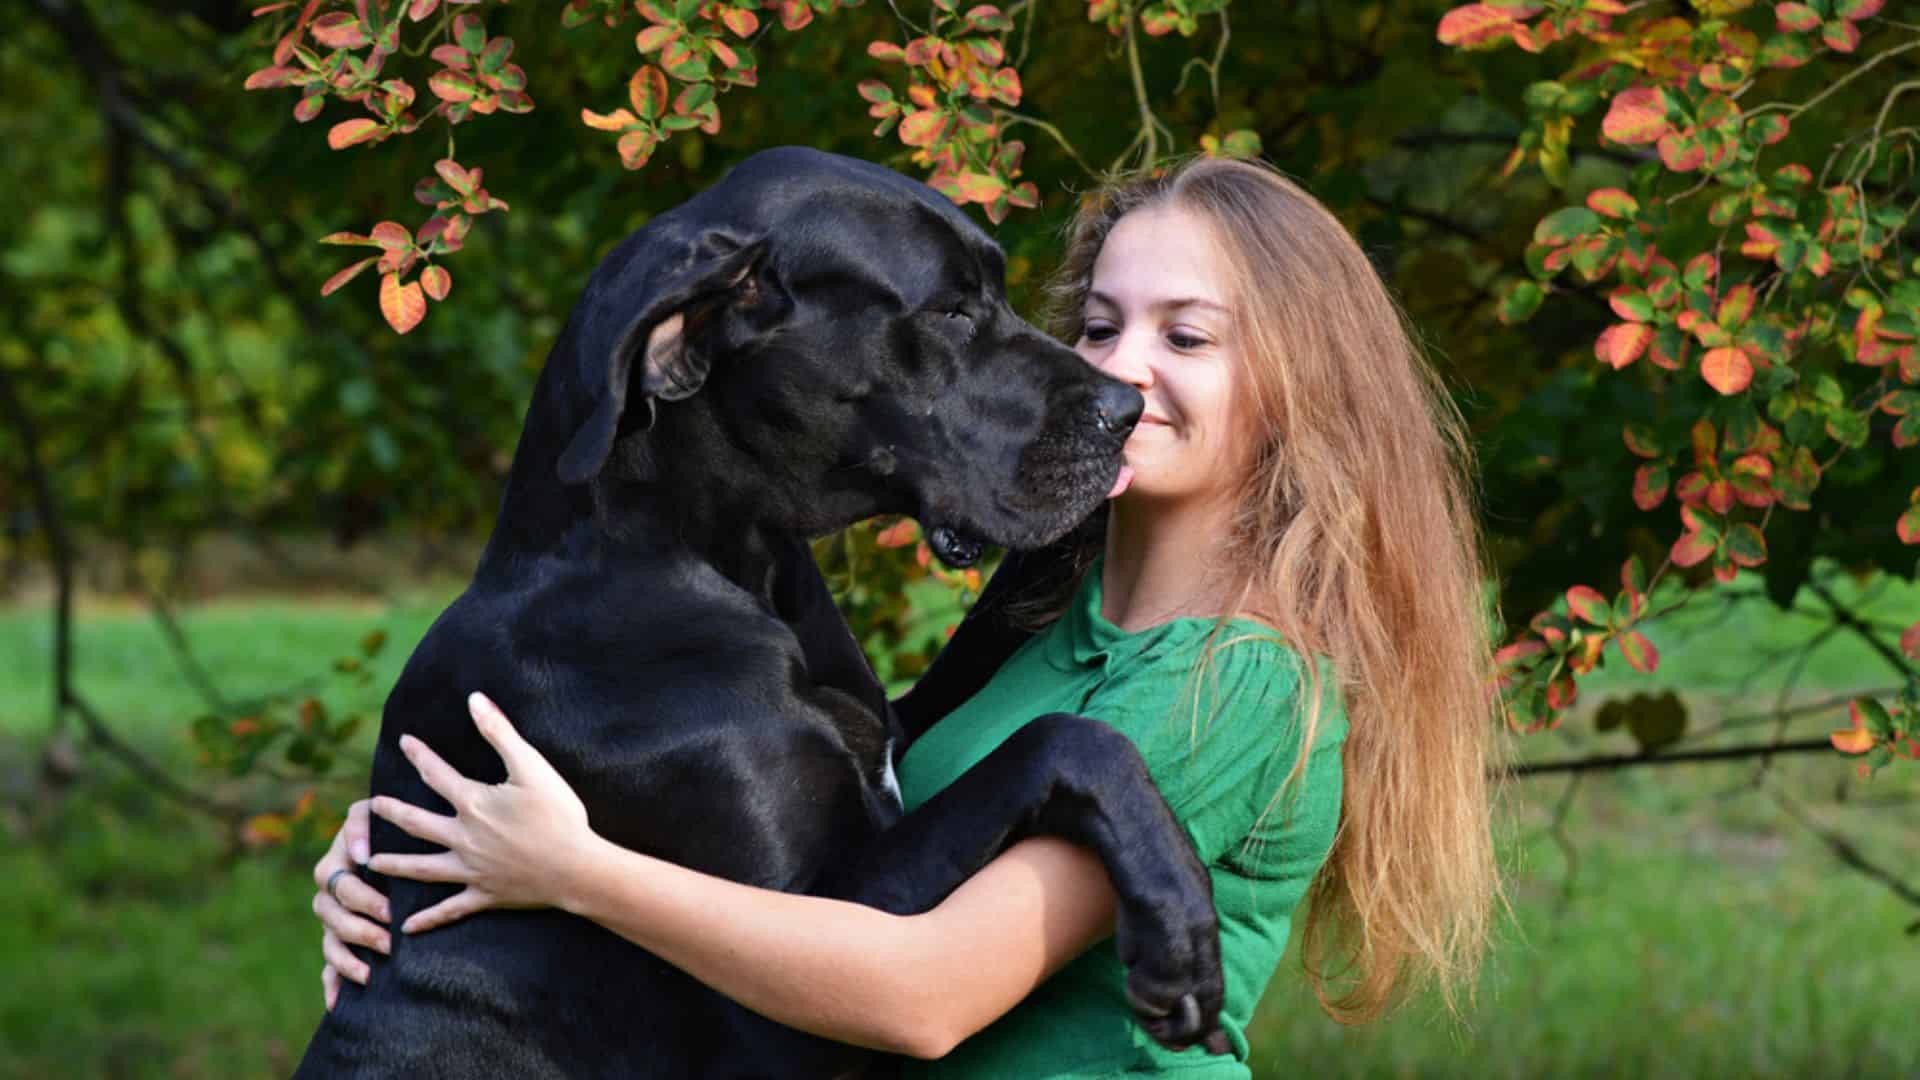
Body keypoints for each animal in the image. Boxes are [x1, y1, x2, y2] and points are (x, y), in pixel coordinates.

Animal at [299, 147, 1228, 1068]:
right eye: (951, 310)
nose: (1128, 409)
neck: (716, 566)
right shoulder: (797, 963)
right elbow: (1061, 738)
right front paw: (1179, 918)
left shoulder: (890, 723)